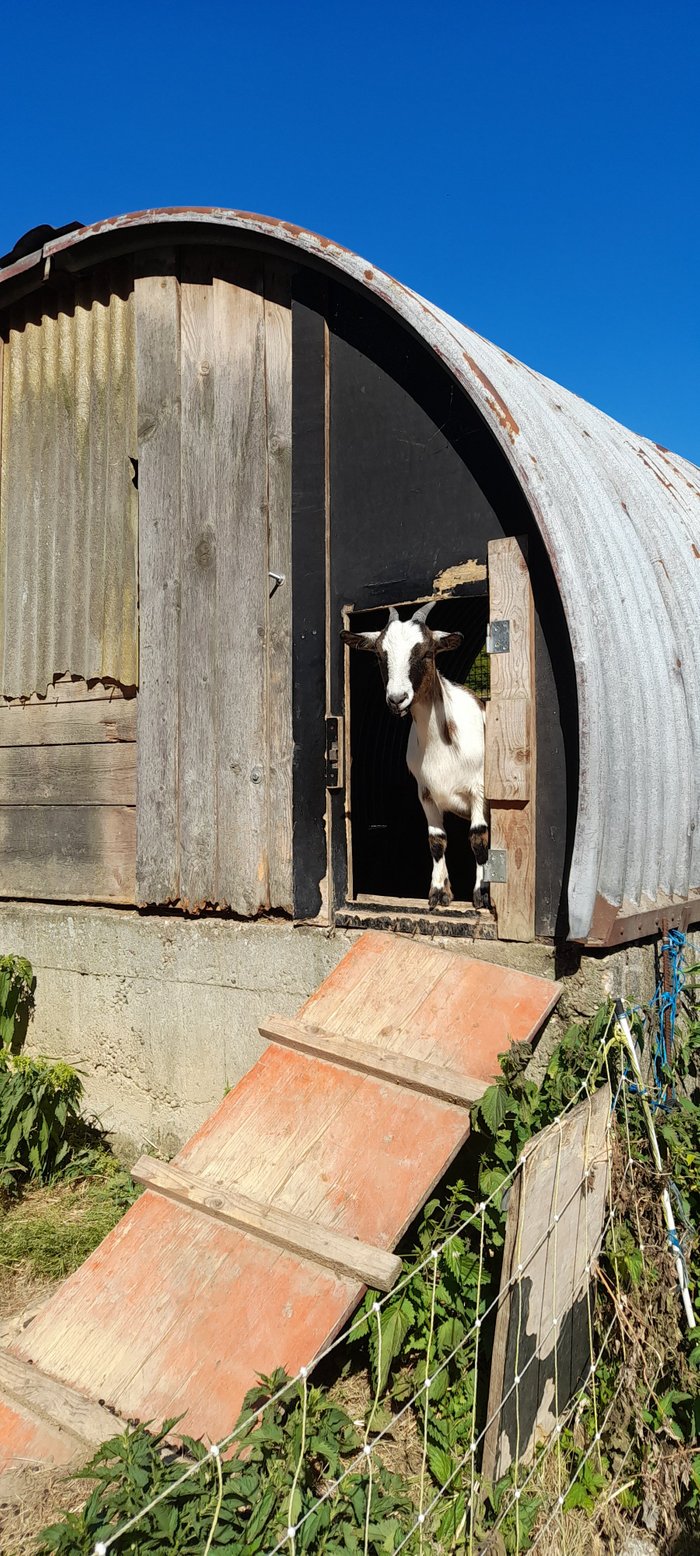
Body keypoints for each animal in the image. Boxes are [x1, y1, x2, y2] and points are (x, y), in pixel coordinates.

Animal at [342, 603, 488, 908]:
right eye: (380, 654)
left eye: (427, 652)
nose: (397, 699)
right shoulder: (426, 792)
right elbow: (436, 840)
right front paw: (439, 892)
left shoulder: (479, 788)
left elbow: (478, 837)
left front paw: (481, 892)